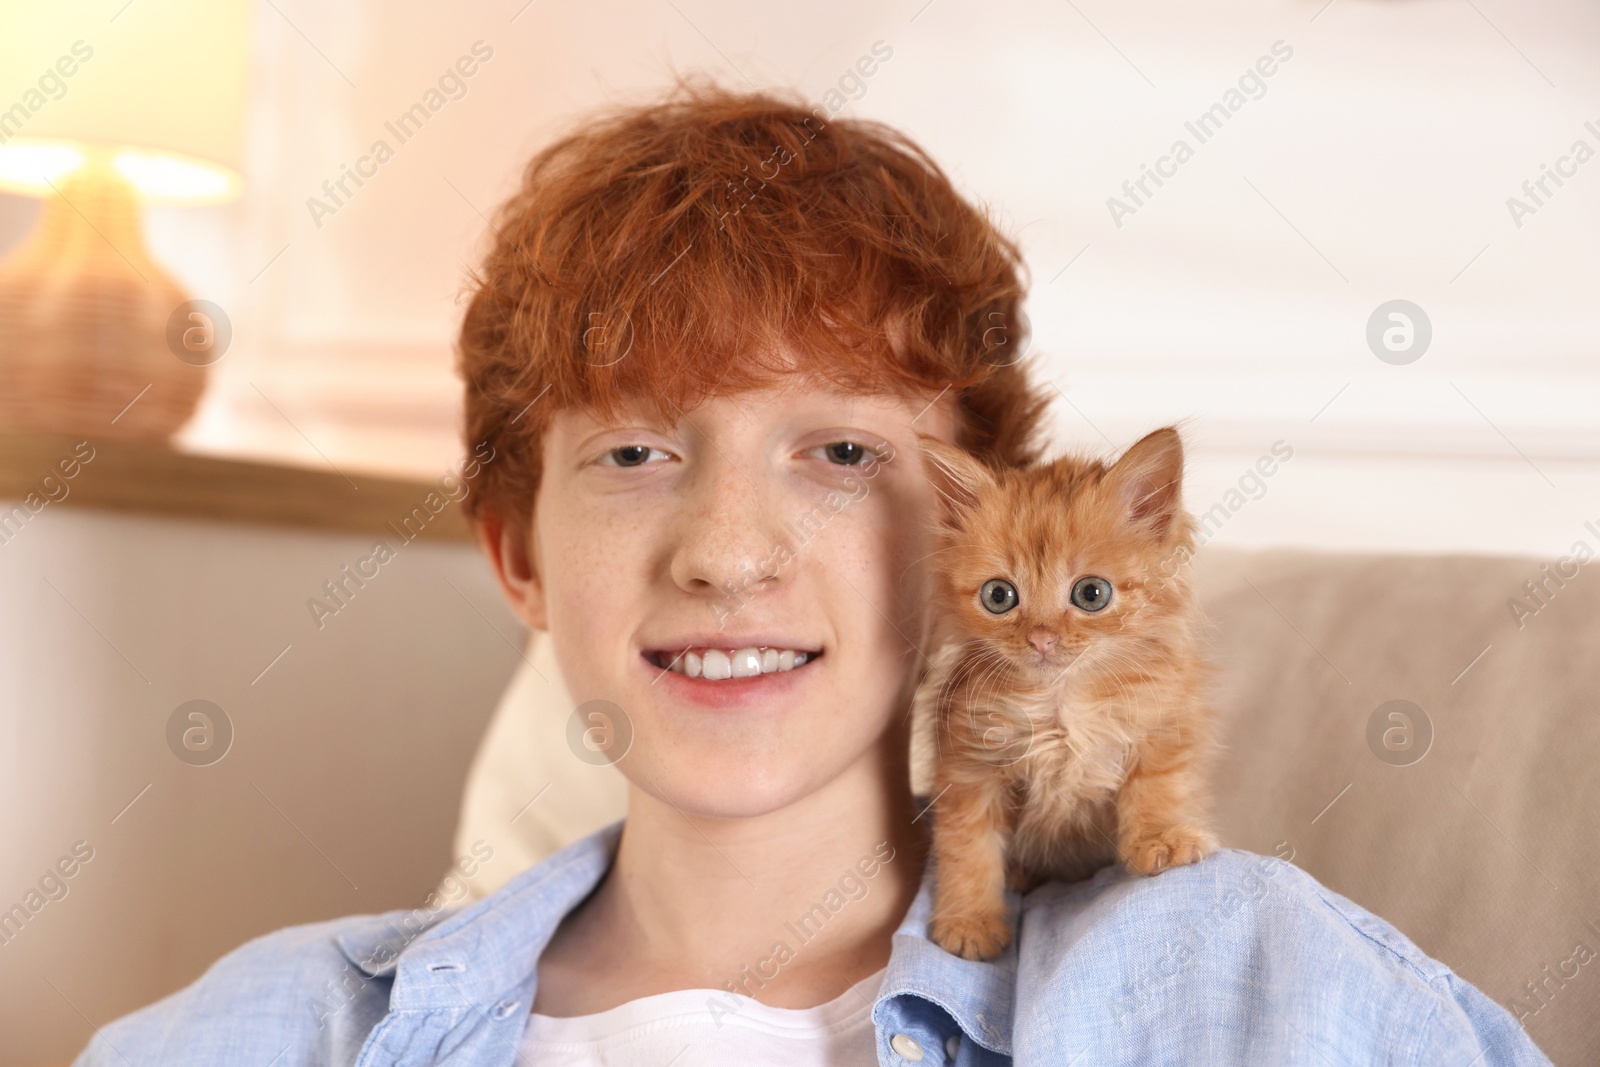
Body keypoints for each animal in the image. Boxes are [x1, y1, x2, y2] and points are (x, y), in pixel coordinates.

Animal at [915, 428, 1209, 966]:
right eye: (999, 596)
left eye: (1092, 594)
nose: (1042, 639)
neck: (1059, 701)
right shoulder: (969, 764)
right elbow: (968, 848)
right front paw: (970, 920)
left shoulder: (1163, 720)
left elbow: (1158, 785)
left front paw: (1161, 838)